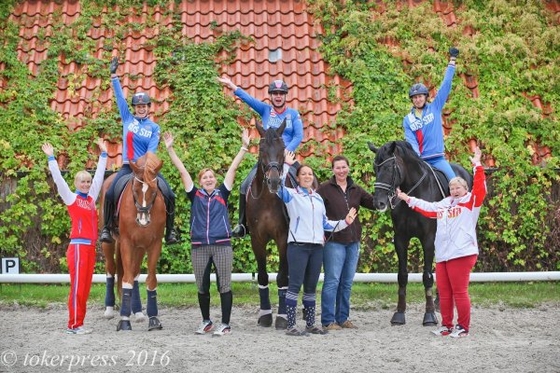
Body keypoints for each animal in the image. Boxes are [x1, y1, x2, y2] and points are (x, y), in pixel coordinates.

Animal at [99, 152, 165, 332]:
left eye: (154, 190)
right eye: (135, 190)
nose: (143, 221)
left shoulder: (154, 244)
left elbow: (150, 279)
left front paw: (153, 319)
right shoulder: (127, 243)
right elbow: (126, 279)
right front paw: (124, 320)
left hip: (140, 247)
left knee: (134, 272)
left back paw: (137, 312)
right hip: (109, 243)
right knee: (111, 268)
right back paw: (109, 310)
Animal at [368, 141, 472, 324]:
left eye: (388, 167)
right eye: (375, 168)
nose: (378, 202)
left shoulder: (428, 239)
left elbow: (427, 276)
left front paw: (429, 315)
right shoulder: (400, 239)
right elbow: (402, 275)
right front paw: (399, 313)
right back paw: (440, 301)